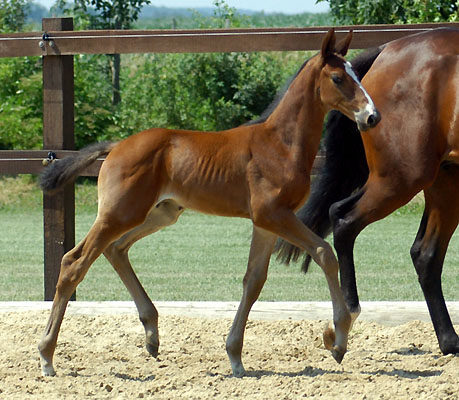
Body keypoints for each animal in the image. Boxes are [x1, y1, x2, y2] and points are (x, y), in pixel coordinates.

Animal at [36, 28, 380, 378]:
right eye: (338, 78)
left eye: (355, 74)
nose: (372, 116)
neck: (280, 144)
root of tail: (116, 146)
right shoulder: (273, 214)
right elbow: (325, 253)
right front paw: (338, 340)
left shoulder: (266, 223)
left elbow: (254, 280)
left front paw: (235, 356)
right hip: (119, 213)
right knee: (74, 262)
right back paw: (47, 355)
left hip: (159, 213)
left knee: (115, 249)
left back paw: (151, 335)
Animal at [276, 27, 459, 354]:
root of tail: (387, 49)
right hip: (402, 178)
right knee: (343, 219)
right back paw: (348, 313)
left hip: (444, 180)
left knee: (425, 254)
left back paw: (450, 341)